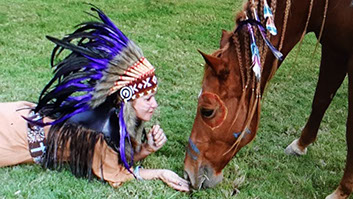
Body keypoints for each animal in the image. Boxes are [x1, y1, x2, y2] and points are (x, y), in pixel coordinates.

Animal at [183, 0, 352, 197]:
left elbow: (350, 129)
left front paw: (342, 190)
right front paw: (300, 145)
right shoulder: (334, 50)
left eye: (207, 111)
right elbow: (321, 100)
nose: (188, 173)